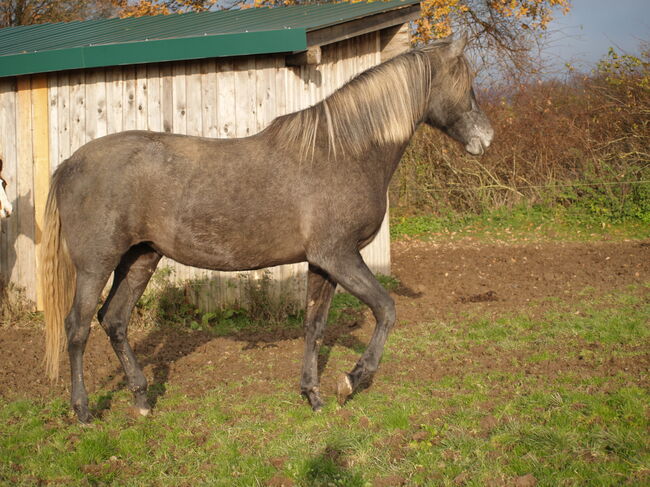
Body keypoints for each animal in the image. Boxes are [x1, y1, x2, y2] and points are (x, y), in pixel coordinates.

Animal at [40, 36, 488, 424]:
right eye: (467, 82)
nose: (486, 137)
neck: (341, 152)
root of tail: (69, 164)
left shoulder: (323, 264)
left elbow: (314, 326)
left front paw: (313, 395)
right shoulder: (340, 256)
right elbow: (387, 310)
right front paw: (350, 380)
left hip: (141, 258)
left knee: (114, 321)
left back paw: (141, 399)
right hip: (96, 265)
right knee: (77, 327)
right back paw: (82, 410)